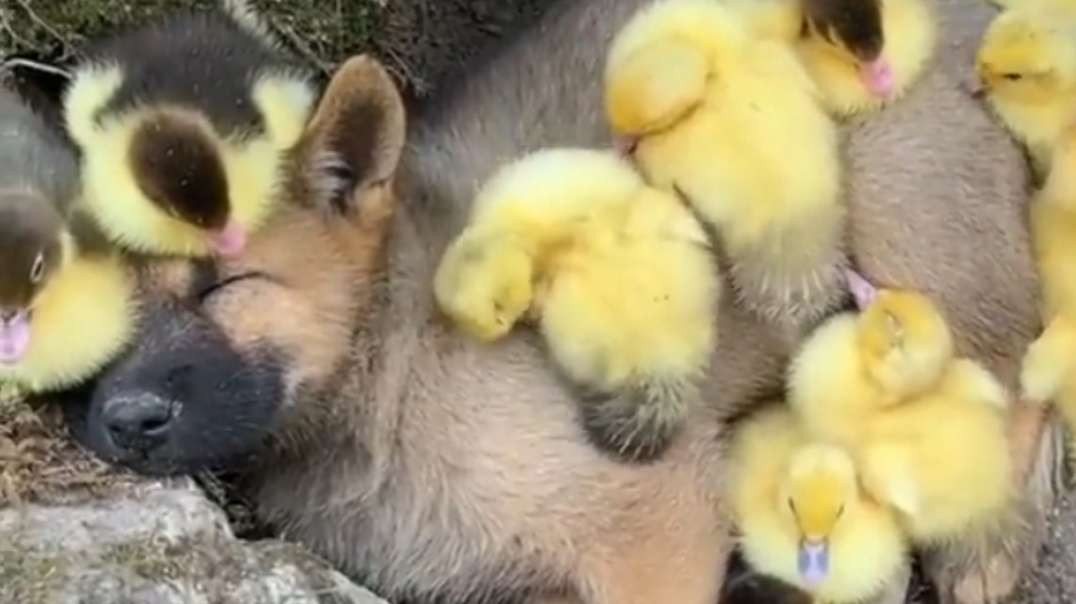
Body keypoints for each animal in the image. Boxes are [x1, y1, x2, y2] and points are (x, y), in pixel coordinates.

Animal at [58, 1, 1050, 602]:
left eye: (226, 284)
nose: (127, 422)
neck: (394, 369)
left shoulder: (652, 521)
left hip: (914, 238)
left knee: (1010, 379)